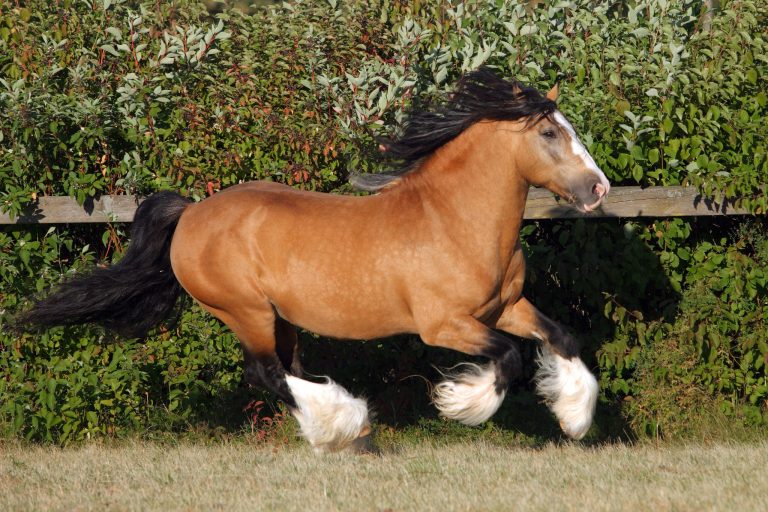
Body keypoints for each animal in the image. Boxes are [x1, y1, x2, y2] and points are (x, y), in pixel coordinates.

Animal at [19, 69, 610, 452]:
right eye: (549, 132)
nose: (598, 188)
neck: (452, 220)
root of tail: (190, 213)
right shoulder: (445, 326)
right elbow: (508, 359)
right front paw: (461, 404)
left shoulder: (505, 307)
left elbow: (561, 337)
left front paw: (574, 420)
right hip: (245, 311)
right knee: (267, 374)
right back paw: (347, 425)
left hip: (279, 316)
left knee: (289, 369)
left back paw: (346, 432)